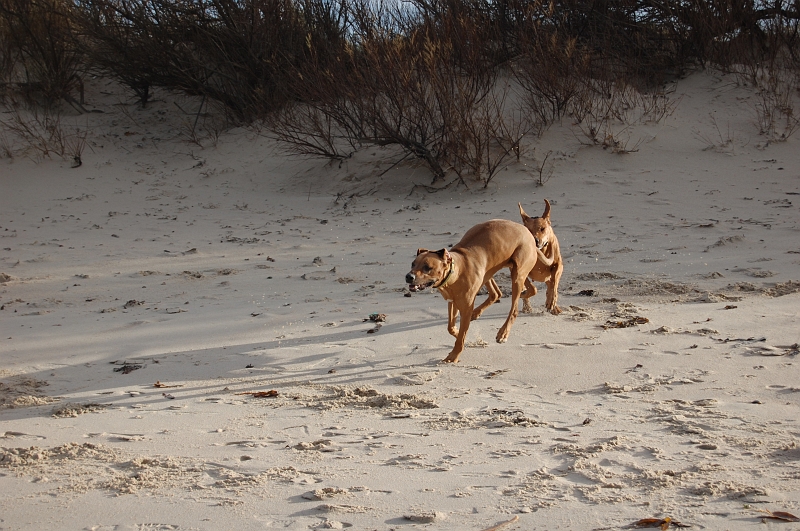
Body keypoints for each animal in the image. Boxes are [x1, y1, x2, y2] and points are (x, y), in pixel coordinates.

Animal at [410, 218, 548, 364]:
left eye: (427, 267)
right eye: (413, 264)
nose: (408, 276)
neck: (456, 271)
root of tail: (529, 233)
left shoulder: (465, 307)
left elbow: (461, 337)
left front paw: (454, 355)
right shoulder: (452, 301)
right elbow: (451, 328)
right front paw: (459, 334)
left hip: (517, 274)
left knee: (514, 309)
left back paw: (503, 332)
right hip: (498, 271)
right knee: (500, 293)